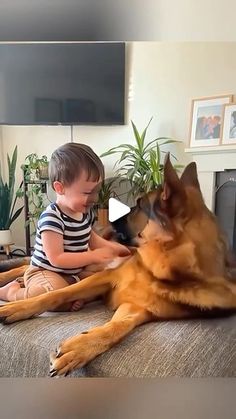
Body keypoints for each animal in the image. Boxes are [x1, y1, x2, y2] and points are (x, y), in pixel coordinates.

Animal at [0, 155, 236, 378]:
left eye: (139, 205)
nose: (110, 221)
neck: (157, 272)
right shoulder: (105, 277)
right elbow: (54, 295)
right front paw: (18, 308)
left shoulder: (138, 308)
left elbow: (117, 328)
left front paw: (80, 348)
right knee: (28, 264)